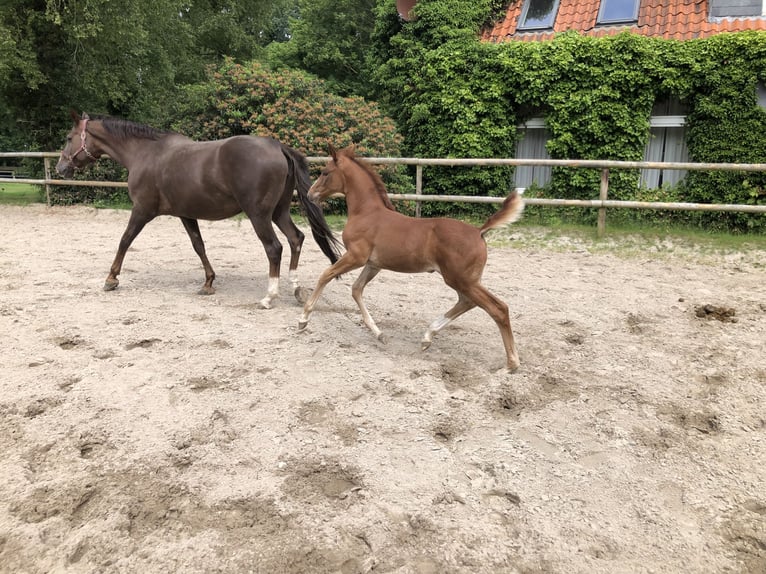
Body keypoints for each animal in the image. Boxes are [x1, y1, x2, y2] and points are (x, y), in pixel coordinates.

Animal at [302, 146, 528, 374]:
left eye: (325, 172)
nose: (310, 194)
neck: (366, 213)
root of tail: (478, 231)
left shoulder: (356, 257)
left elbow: (326, 275)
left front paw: (303, 319)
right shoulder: (374, 264)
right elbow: (356, 289)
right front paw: (379, 334)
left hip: (461, 279)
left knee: (498, 308)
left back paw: (511, 364)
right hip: (464, 280)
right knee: (467, 301)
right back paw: (427, 337)